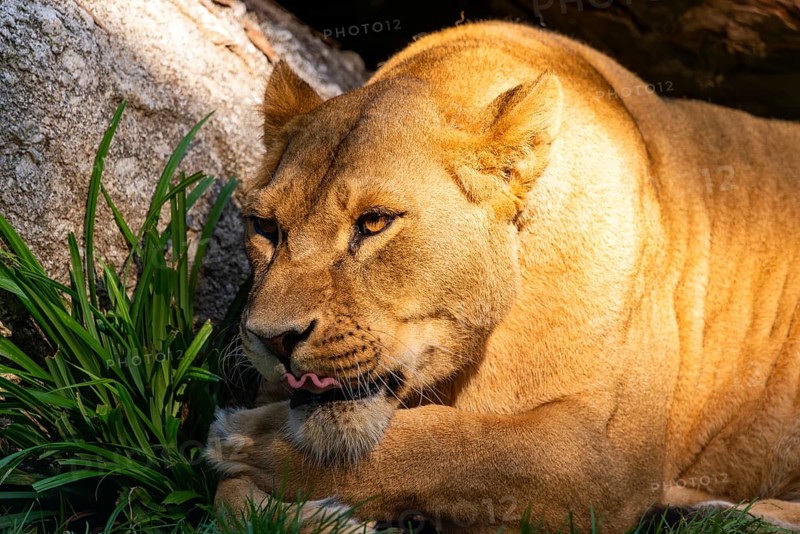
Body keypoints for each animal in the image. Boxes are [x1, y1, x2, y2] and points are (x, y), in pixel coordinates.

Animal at [205, 21, 800, 532]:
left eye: (373, 222)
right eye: (265, 227)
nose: (270, 339)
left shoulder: (612, 457)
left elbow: (465, 449)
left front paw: (249, 440)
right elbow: (229, 504)